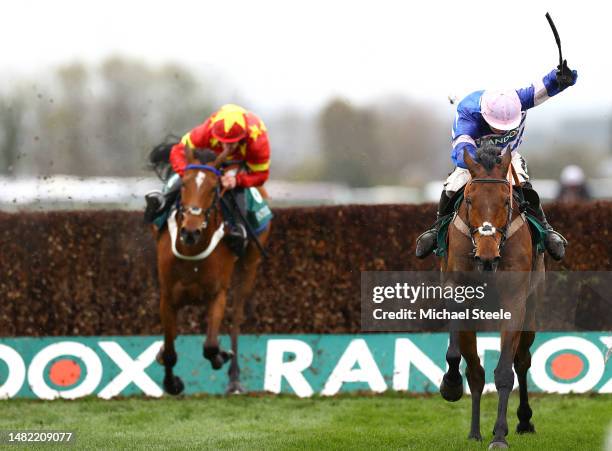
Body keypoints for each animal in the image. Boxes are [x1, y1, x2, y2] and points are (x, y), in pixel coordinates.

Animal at [152, 147, 272, 396]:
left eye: (213, 187)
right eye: (184, 184)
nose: (190, 230)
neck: (192, 250)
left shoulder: (217, 293)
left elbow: (210, 345)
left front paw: (220, 356)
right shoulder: (167, 295)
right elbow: (169, 350)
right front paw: (171, 383)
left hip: (249, 267)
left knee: (235, 319)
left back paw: (234, 380)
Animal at [440, 147, 544, 450]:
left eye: (506, 200)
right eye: (469, 199)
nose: (487, 257)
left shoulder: (514, 303)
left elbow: (505, 372)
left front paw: (499, 435)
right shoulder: (456, 291)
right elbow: (457, 356)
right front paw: (450, 385)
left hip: (531, 311)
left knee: (522, 362)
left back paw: (523, 421)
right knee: (475, 372)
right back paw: (474, 431)